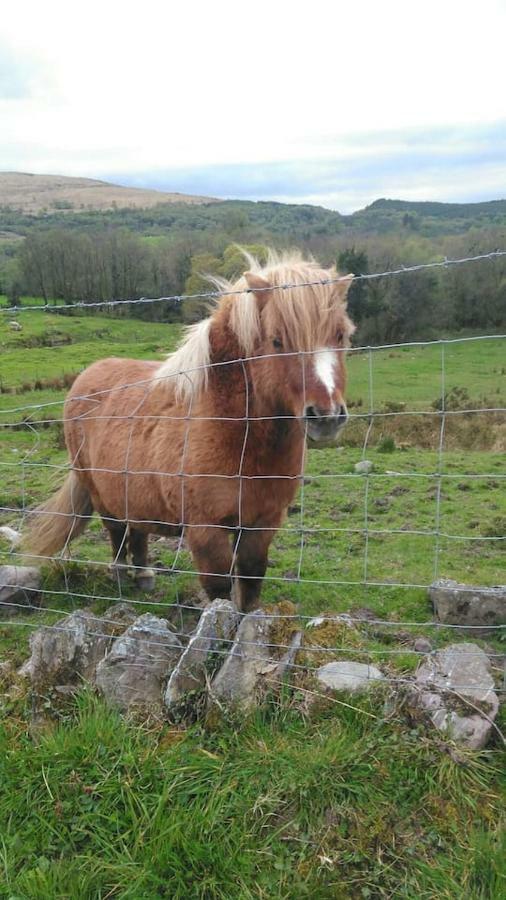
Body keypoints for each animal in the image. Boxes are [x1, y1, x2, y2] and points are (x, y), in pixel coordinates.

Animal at [23, 250, 354, 612]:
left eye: (341, 335)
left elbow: (251, 584)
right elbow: (219, 590)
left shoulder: (261, 522)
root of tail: (86, 376)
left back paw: (144, 576)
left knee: (137, 529)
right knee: (117, 531)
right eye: (277, 340)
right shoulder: (205, 530)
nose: (326, 416)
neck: (238, 436)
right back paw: (122, 576)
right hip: (99, 493)